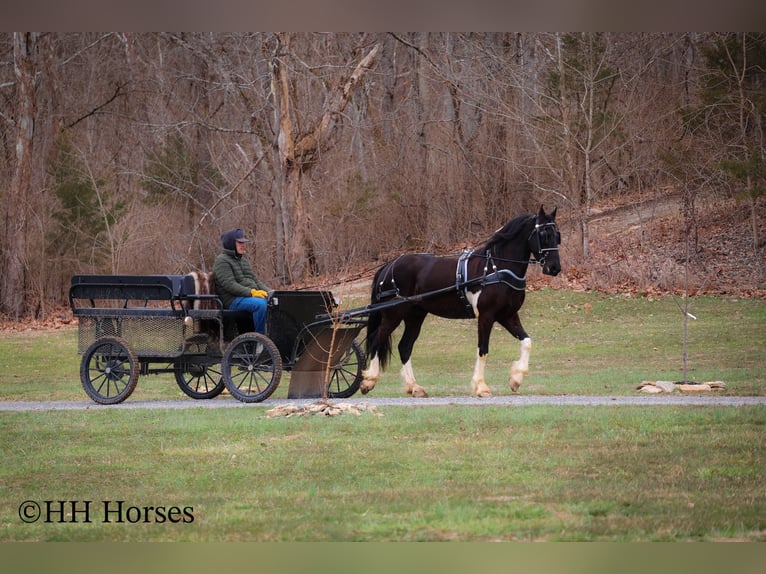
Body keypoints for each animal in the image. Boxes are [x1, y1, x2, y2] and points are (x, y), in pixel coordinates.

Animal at [360, 207, 564, 400]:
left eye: (557, 236)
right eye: (543, 235)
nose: (554, 268)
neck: (496, 268)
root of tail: (390, 265)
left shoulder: (508, 316)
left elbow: (527, 342)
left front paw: (516, 379)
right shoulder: (486, 316)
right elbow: (483, 350)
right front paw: (481, 387)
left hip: (415, 315)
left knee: (404, 347)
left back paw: (415, 388)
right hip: (393, 314)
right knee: (377, 340)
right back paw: (368, 381)